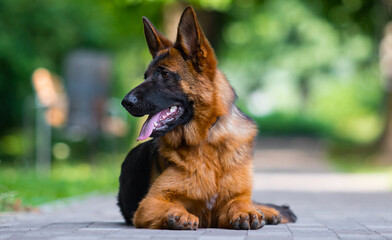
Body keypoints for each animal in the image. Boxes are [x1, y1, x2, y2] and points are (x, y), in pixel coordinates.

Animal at [118, 6, 296, 230]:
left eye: (165, 74)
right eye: (146, 77)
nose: (125, 102)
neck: (205, 140)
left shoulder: (234, 198)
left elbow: (240, 202)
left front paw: (247, 212)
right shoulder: (149, 204)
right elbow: (171, 206)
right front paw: (178, 215)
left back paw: (269, 211)